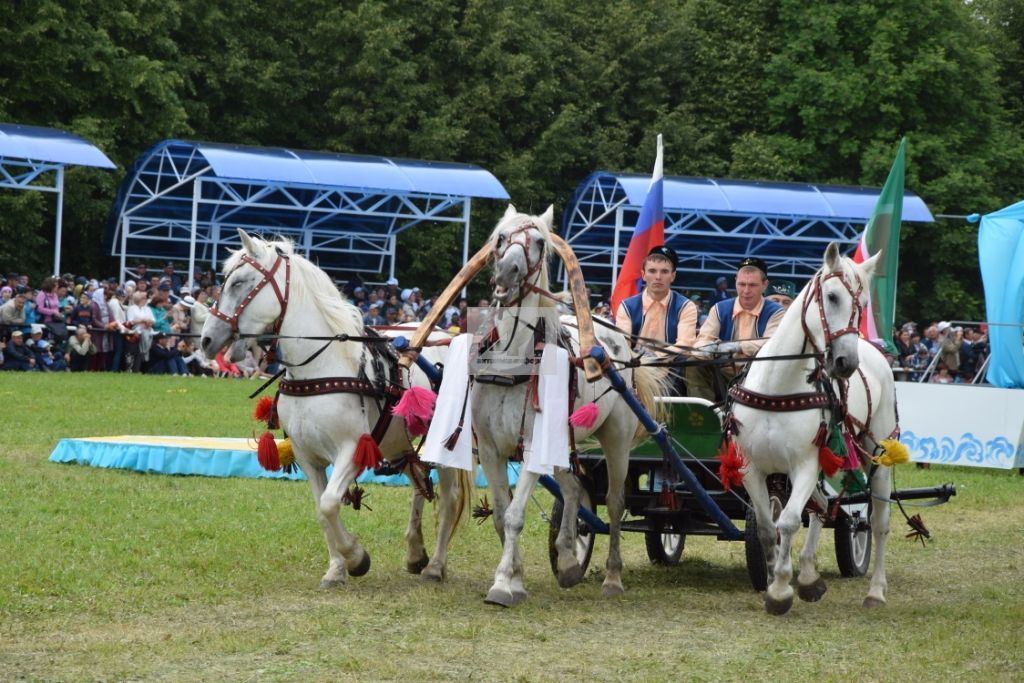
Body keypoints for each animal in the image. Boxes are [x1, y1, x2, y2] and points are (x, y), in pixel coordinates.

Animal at [200, 231, 471, 589]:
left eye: (239, 282)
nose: (206, 340)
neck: (320, 366)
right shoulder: (307, 456)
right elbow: (321, 509)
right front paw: (337, 568)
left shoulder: (353, 450)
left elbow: (330, 504)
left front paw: (356, 558)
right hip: (400, 440)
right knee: (418, 482)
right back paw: (415, 552)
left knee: (449, 498)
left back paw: (435, 566)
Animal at [471, 205, 663, 606]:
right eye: (500, 238)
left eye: (540, 242)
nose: (507, 272)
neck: (512, 364)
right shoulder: (491, 450)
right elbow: (500, 515)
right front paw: (516, 578)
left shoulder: (532, 447)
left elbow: (514, 516)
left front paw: (503, 583)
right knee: (574, 490)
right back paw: (569, 558)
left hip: (616, 439)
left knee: (616, 502)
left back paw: (612, 576)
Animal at [733, 244, 892, 614]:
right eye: (831, 297)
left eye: (863, 305)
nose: (846, 363)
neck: (777, 387)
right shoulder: (751, 468)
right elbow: (767, 527)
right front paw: (776, 579)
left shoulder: (805, 464)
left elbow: (789, 521)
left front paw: (779, 590)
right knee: (821, 507)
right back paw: (808, 576)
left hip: (876, 454)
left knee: (878, 520)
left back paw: (876, 591)